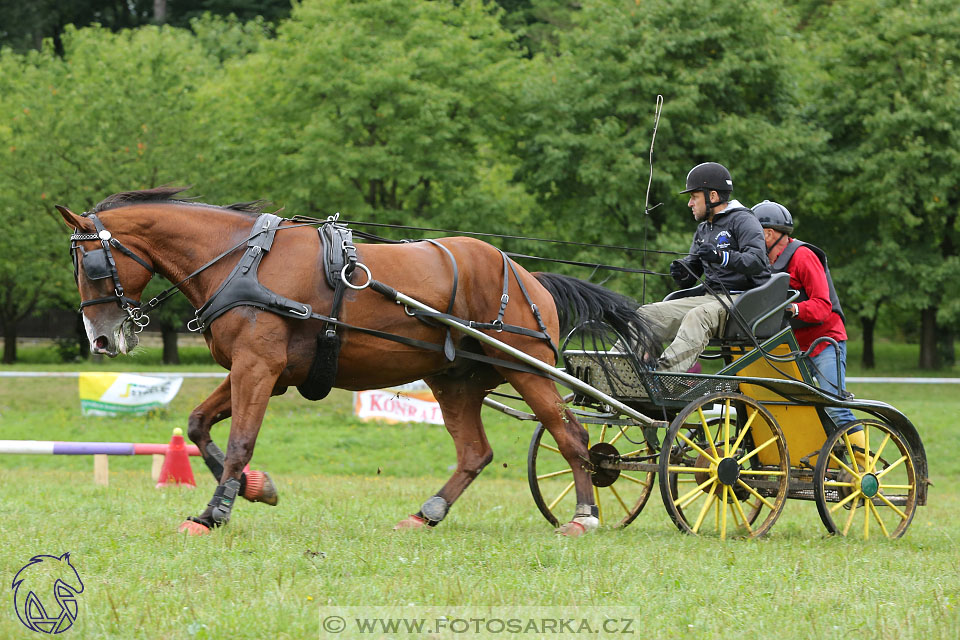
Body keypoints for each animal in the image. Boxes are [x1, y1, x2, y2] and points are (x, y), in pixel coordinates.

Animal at [56, 188, 648, 536]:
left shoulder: (257, 368)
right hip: (453, 379)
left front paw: (214, 512)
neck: (242, 261)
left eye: (90, 264)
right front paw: (256, 488)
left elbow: (241, 441)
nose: (101, 339)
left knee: (571, 435)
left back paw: (584, 515)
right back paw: (427, 512)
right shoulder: (258, 373)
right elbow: (201, 426)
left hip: (528, 368)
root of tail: (526, 274)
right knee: (476, 453)